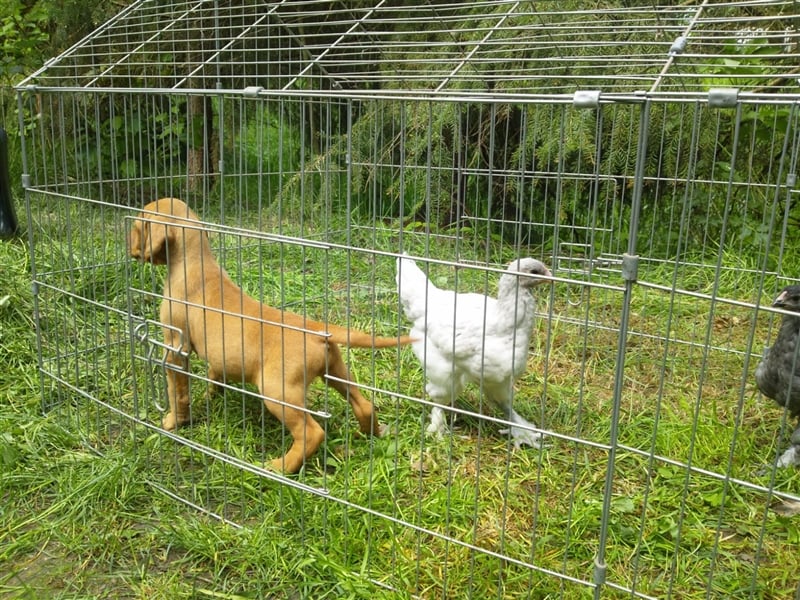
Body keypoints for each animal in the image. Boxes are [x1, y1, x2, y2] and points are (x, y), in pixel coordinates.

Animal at [126, 198, 412, 474]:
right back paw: (367, 435)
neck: (196, 263)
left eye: (138, 225)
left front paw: (174, 421)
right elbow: (215, 373)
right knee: (364, 404)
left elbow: (178, 392)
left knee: (311, 432)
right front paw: (211, 395)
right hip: (337, 371)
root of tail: (317, 330)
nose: (130, 248)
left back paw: (281, 468)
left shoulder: (175, 347)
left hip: (278, 391)